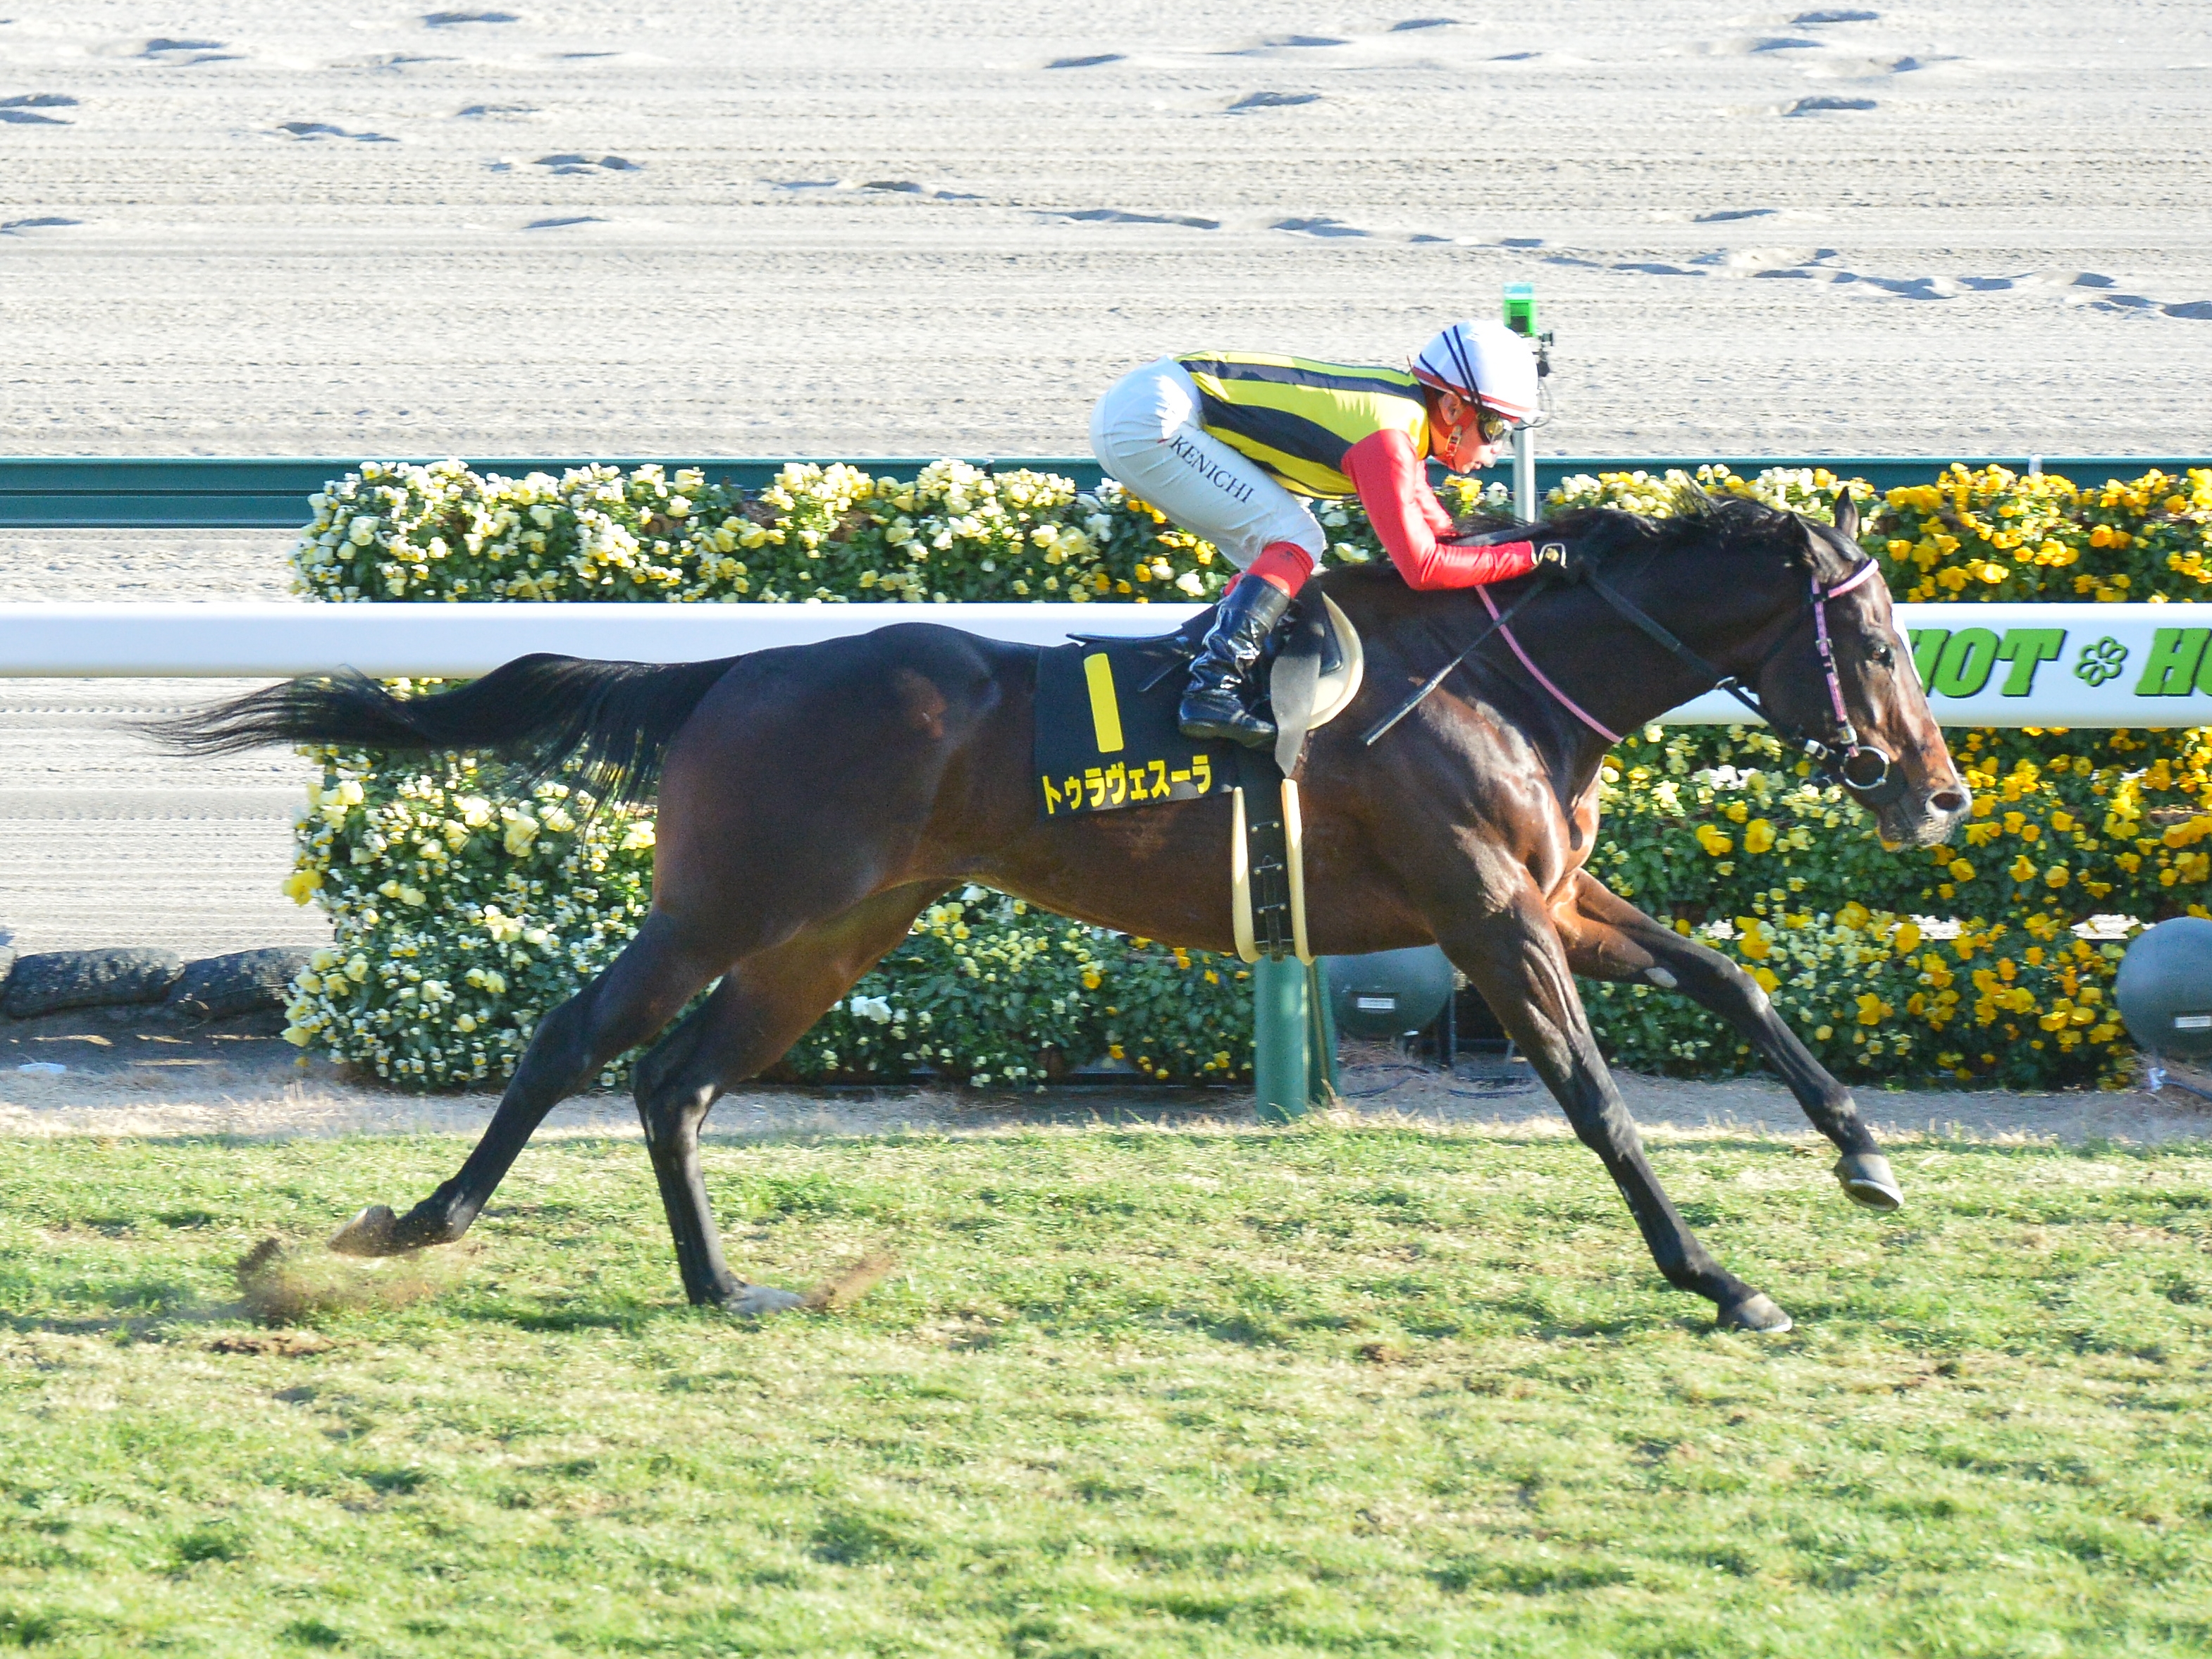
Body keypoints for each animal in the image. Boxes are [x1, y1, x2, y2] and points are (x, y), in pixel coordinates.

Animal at [165, 493, 1969, 1332]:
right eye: (1878, 640)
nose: (1939, 793)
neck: (1496, 675)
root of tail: (728, 670)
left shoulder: (1550, 892)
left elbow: (1730, 980)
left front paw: (1863, 1155)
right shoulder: (1485, 915)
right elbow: (1597, 1101)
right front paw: (1719, 1278)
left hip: (842, 930)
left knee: (676, 1081)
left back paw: (725, 1286)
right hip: (735, 901)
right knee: (575, 1039)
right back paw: (408, 1228)